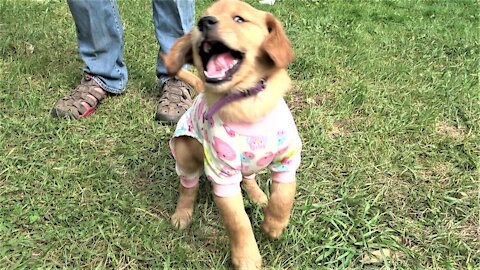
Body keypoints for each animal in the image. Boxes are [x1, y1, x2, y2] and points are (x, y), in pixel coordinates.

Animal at [163, 0, 302, 268]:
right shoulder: (222, 174)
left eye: (239, 19)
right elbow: (238, 222)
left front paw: (274, 225)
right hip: (185, 152)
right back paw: (182, 214)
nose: (204, 22)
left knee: (248, 177)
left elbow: (284, 196)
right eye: (204, 16)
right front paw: (246, 257)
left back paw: (258, 196)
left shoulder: (287, 159)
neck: (246, 103)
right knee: (188, 187)